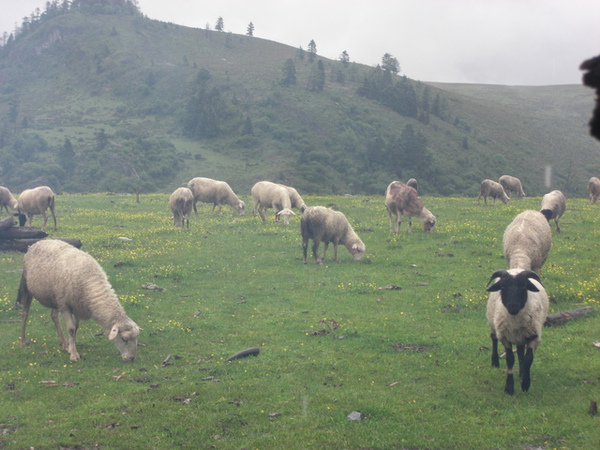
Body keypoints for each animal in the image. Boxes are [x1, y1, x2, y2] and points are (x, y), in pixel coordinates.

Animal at [486, 268, 552, 396]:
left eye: (524, 286)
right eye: (502, 286)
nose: (513, 306)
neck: (515, 321)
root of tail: (516, 269)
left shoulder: (533, 336)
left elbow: (528, 359)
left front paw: (525, 383)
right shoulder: (505, 338)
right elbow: (510, 359)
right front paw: (509, 388)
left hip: (521, 336)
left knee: (521, 351)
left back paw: (521, 373)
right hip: (493, 323)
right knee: (494, 338)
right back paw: (495, 361)